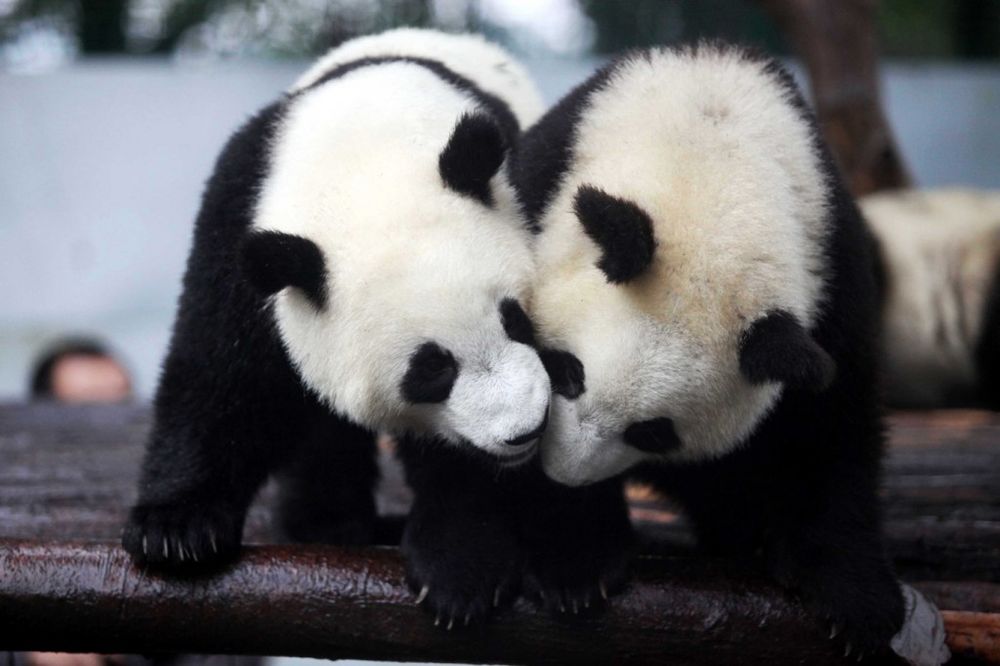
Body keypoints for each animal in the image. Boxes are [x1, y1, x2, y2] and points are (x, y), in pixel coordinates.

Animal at [122, 28, 556, 625]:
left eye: (516, 319)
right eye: (431, 370)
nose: (524, 431)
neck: (363, 160)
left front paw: (461, 568)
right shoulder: (240, 212)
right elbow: (220, 370)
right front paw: (174, 530)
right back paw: (331, 523)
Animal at [513, 43, 906, 657]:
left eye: (653, 432)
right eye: (569, 372)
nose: (565, 472)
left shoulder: (832, 269)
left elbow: (828, 425)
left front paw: (858, 601)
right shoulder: (541, 191)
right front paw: (571, 561)